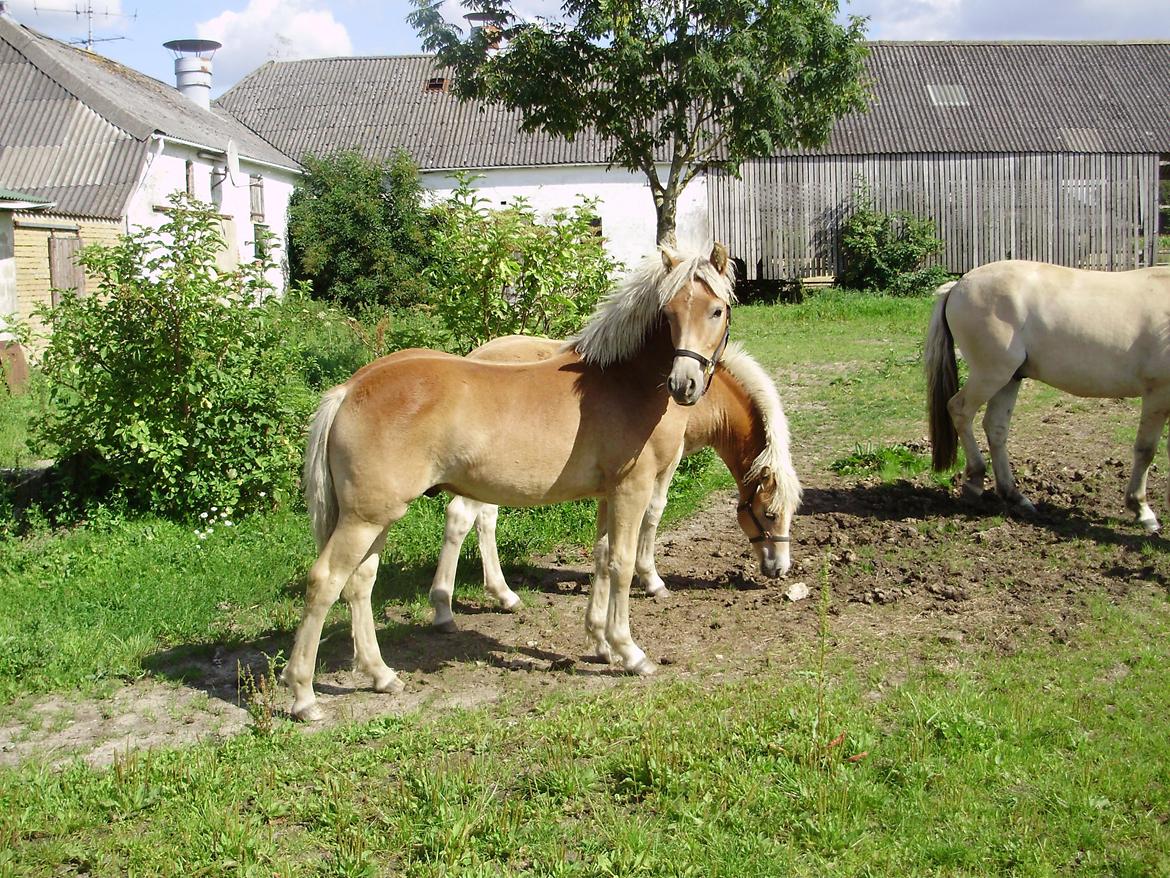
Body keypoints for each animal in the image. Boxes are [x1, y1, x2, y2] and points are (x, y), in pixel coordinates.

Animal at [285, 242, 730, 721]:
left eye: (717, 310)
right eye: (668, 313)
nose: (684, 384)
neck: (623, 380)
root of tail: (349, 389)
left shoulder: (608, 495)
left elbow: (601, 556)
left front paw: (599, 642)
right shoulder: (632, 489)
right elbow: (621, 564)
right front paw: (629, 652)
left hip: (377, 518)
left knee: (360, 583)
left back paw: (382, 675)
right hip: (363, 518)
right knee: (325, 581)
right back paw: (304, 696)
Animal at [430, 332, 804, 650]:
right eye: (769, 513)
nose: (780, 568)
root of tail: (476, 356)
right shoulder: (665, 461)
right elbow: (654, 512)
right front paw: (652, 580)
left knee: (485, 519)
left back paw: (504, 595)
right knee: (460, 517)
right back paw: (448, 610)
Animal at [926, 257, 1170, 533]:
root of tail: (958, 285)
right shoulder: (1158, 393)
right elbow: (1146, 450)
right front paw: (1141, 510)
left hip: (1010, 379)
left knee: (995, 428)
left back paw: (1015, 497)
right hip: (991, 375)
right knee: (960, 410)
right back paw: (975, 480)